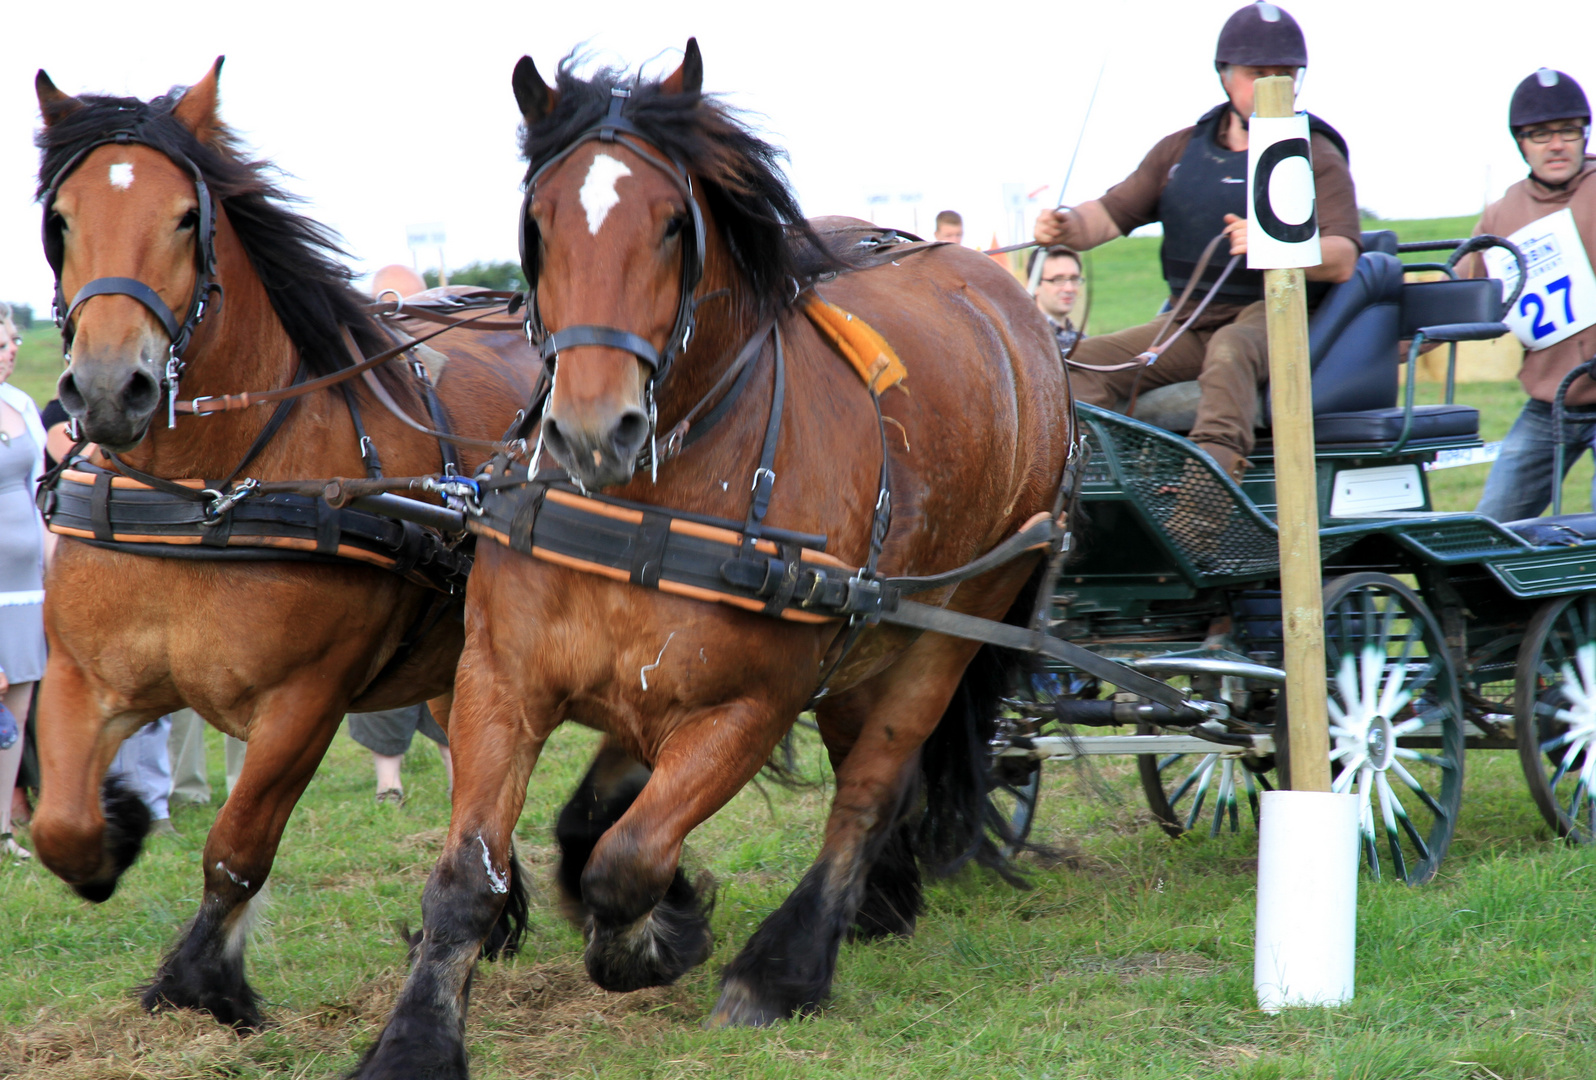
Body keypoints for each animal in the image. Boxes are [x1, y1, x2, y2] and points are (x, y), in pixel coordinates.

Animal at [29, 61, 542, 1027]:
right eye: (61, 219)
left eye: (185, 218)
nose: (111, 389)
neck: (203, 500)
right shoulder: (81, 677)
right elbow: (60, 830)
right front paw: (120, 825)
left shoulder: (305, 700)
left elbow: (236, 848)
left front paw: (203, 983)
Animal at [351, 42, 1072, 1078]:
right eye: (539, 223)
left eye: (669, 225)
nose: (593, 429)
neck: (645, 503)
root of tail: (1008, 296)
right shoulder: (500, 679)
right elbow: (473, 877)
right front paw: (413, 1042)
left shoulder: (752, 706)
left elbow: (629, 863)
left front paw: (660, 936)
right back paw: (874, 904)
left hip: (952, 619)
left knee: (869, 786)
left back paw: (788, 963)